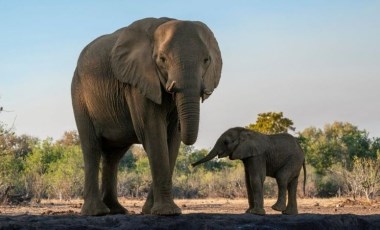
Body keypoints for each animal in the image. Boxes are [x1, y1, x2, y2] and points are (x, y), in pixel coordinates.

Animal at [71, 17, 223, 216]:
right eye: (162, 59)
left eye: (206, 60)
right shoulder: (138, 83)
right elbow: (153, 132)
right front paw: (167, 212)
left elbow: (172, 139)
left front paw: (150, 211)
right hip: (79, 95)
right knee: (91, 147)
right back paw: (97, 212)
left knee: (113, 156)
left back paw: (117, 210)